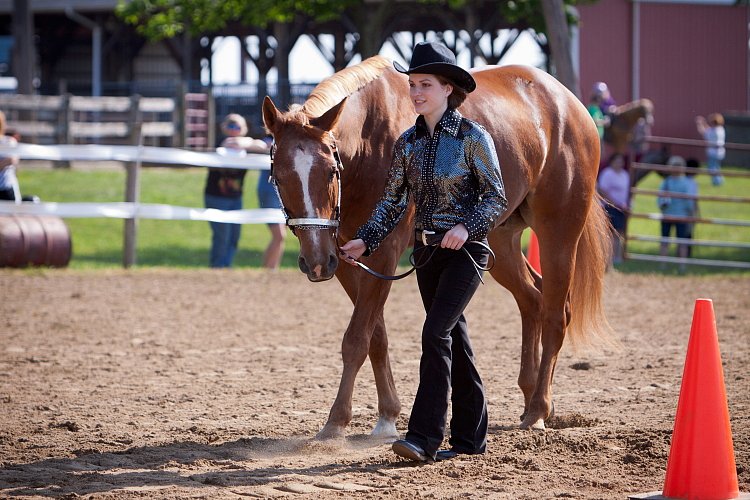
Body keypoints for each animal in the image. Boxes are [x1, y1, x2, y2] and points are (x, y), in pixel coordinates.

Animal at [262, 55, 612, 438]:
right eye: (278, 177)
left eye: (329, 171)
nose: (314, 263)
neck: (371, 139)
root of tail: (572, 105)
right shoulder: (346, 256)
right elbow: (375, 335)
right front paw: (387, 415)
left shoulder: (383, 254)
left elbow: (356, 339)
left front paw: (336, 422)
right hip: (497, 242)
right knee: (532, 299)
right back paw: (530, 396)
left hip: (559, 232)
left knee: (555, 313)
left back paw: (537, 411)